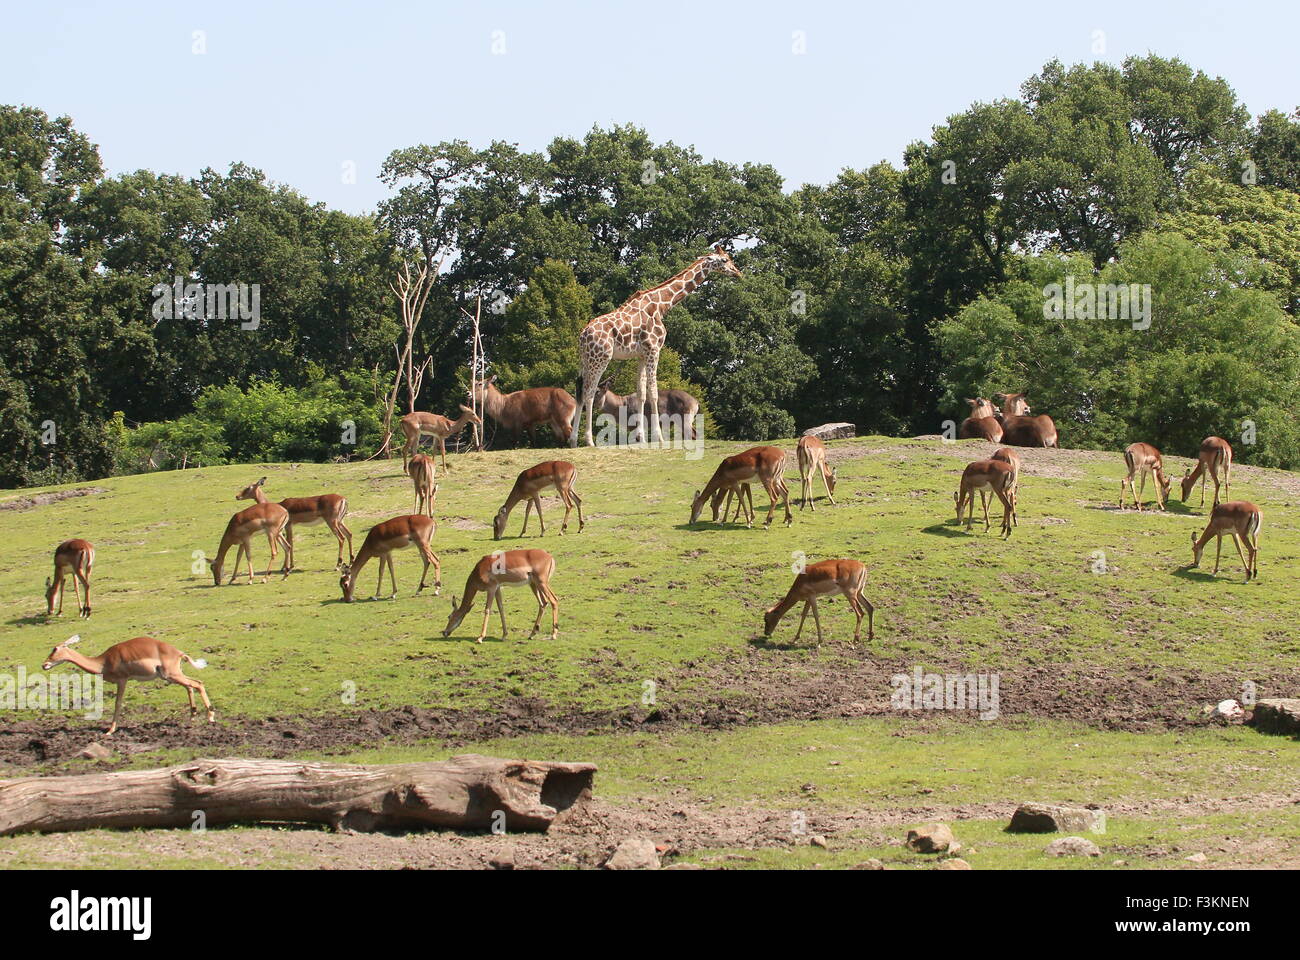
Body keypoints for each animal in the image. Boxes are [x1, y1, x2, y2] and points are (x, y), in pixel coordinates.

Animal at [42, 634, 214, 736]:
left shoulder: (122, 680)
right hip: (171, 676)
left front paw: (110, 730)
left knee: (197, 684)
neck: (104, 662)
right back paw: (192, 719)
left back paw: (211, 718)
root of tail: (179, 653)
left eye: (55, 649)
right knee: (192, 685)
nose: (44, 665)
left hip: (172, 675)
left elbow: (118, 703)